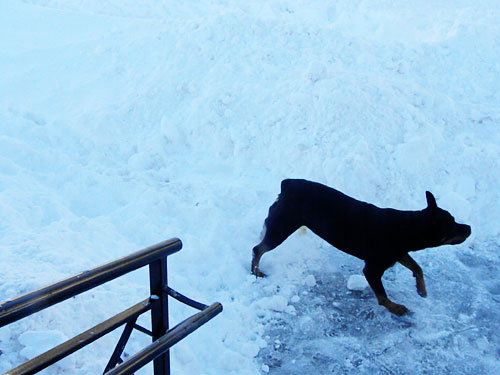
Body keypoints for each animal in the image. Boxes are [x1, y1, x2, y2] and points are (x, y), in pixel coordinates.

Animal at [252, 181, 470, 316]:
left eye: (454, 219)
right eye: (452, 225)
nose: (469, 227)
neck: (407, 229)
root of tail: (287, 184)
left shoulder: (398, 253)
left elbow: (417, 267)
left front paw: (421, 290)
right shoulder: (373, 268)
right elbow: (382, 296)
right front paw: (397, 308)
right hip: (281, 227)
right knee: (258, 249)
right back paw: (256, 271)